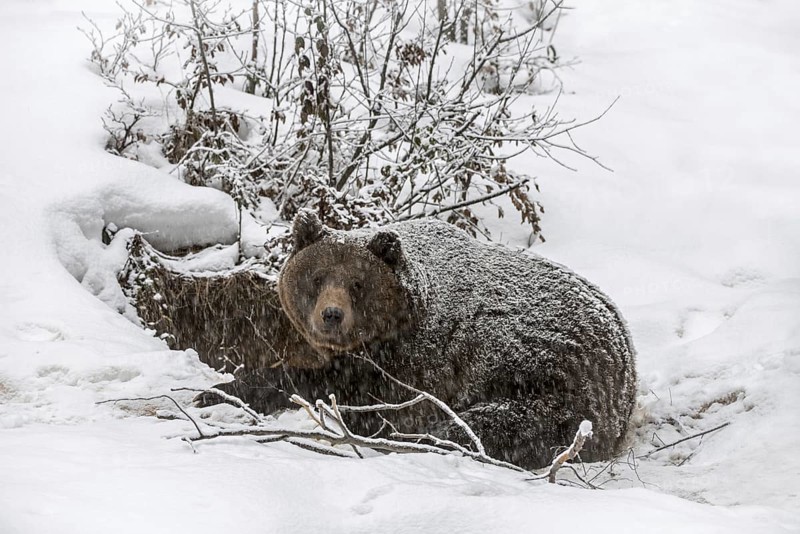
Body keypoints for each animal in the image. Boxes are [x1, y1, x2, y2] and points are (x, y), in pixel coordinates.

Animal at [200, 210, 637, 469]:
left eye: (357, 283)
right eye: (317, 277)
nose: (331, 315)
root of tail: (626, 353)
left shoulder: (412, 363)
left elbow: (339, 390)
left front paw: (221, 390)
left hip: (551, 381)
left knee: (488, 425)